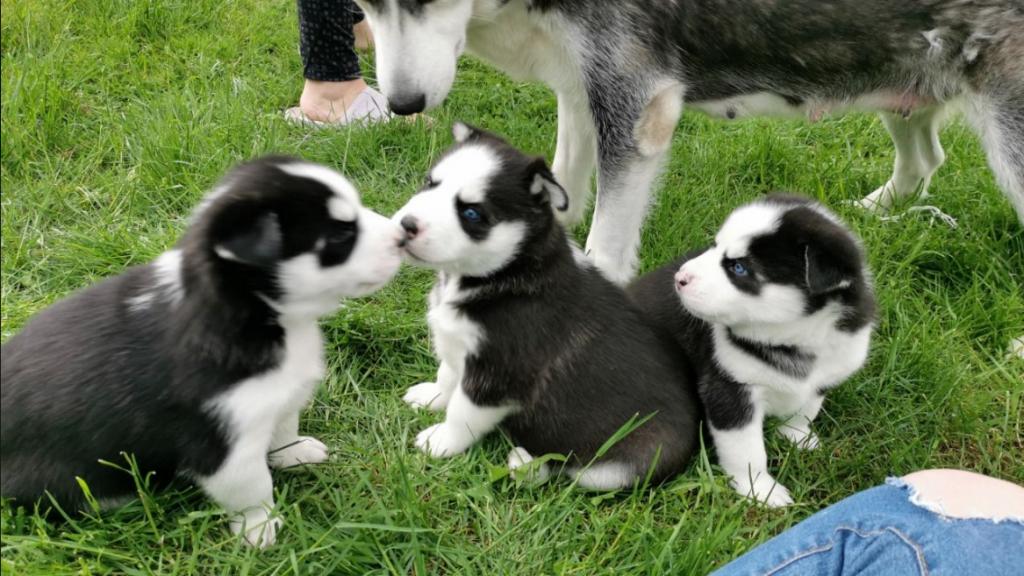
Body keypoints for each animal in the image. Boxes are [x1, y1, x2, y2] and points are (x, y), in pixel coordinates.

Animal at [0, 157, 404, 547]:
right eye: (340, 233)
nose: (403, 235)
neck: (261, 315)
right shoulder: (224, 445)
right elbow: (255, 489)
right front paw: (260, 529)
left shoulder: (278, 397)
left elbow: (285, 426)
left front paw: (295, 452)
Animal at [354, 0, 1024, 284]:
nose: (403, 104)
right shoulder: (582, 86)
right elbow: (560, 184)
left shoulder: (632, 102)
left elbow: (607, 243)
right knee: (926, 156)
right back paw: (873, 214)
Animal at [393, 123, 701, 489]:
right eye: (430, 183)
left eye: (471, 213)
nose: (406, 225)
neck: (505, 272)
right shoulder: (459, 348)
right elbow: (447, 375)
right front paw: (431, 396)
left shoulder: (498, 377)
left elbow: (462, 414)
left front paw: (439, 442)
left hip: (618, 467)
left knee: (570, 469)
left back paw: (526, 462)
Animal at [628, 194, 876, 506]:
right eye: (715, 245)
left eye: (739, 268)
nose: (680, 278)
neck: (793, 338)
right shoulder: (731, 389)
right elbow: (747, 450)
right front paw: (760, 489)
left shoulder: (826, 375)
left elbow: (804, 411)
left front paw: (797, 437)